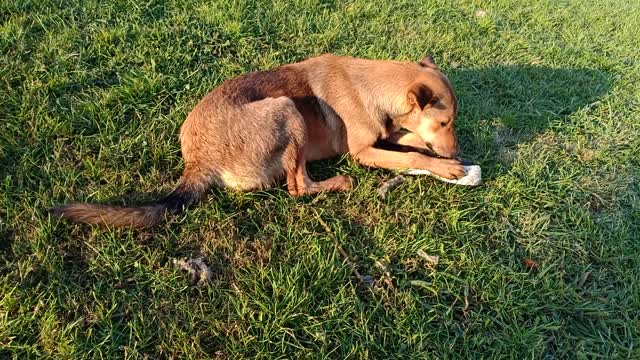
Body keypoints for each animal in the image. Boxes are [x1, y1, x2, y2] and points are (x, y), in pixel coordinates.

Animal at [48, 53, 460, 228]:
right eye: (445, 121)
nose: (458, 149)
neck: (373, 85)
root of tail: (198, 162)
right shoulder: (363, 152)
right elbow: (411, 155)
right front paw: (446, 166)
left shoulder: (389, 133)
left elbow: (411, 141)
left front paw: (440, 156)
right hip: (287, 109)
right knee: (298, 187)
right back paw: (338, 182)